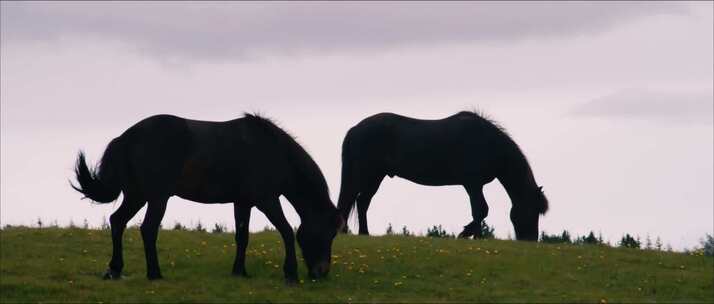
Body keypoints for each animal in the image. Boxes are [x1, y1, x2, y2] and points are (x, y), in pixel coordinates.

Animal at [71, 113, 344, 282]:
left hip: (137, 195)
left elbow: (242, 237)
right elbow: (287, 231)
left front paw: (239, 272)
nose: (321, 272)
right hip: (157, 197)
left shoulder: (243, 203)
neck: (271, 151)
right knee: (147, 229)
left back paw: (115, 270)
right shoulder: (267, 200)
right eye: (326, 233)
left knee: (117, 221)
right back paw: (154, 274)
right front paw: (290, 274)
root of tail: (126, 138)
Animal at [336, 110, 548, 241]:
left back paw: (363, 233)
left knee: (362, 202)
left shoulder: (474, 185)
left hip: (375, 177)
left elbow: (480, 211)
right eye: (531, 210)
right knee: (353, 199)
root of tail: (354, 130)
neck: (487, 143)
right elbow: (480, 210)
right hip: (365, 174)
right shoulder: (472, 184)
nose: (530, 240)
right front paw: (470, 235)